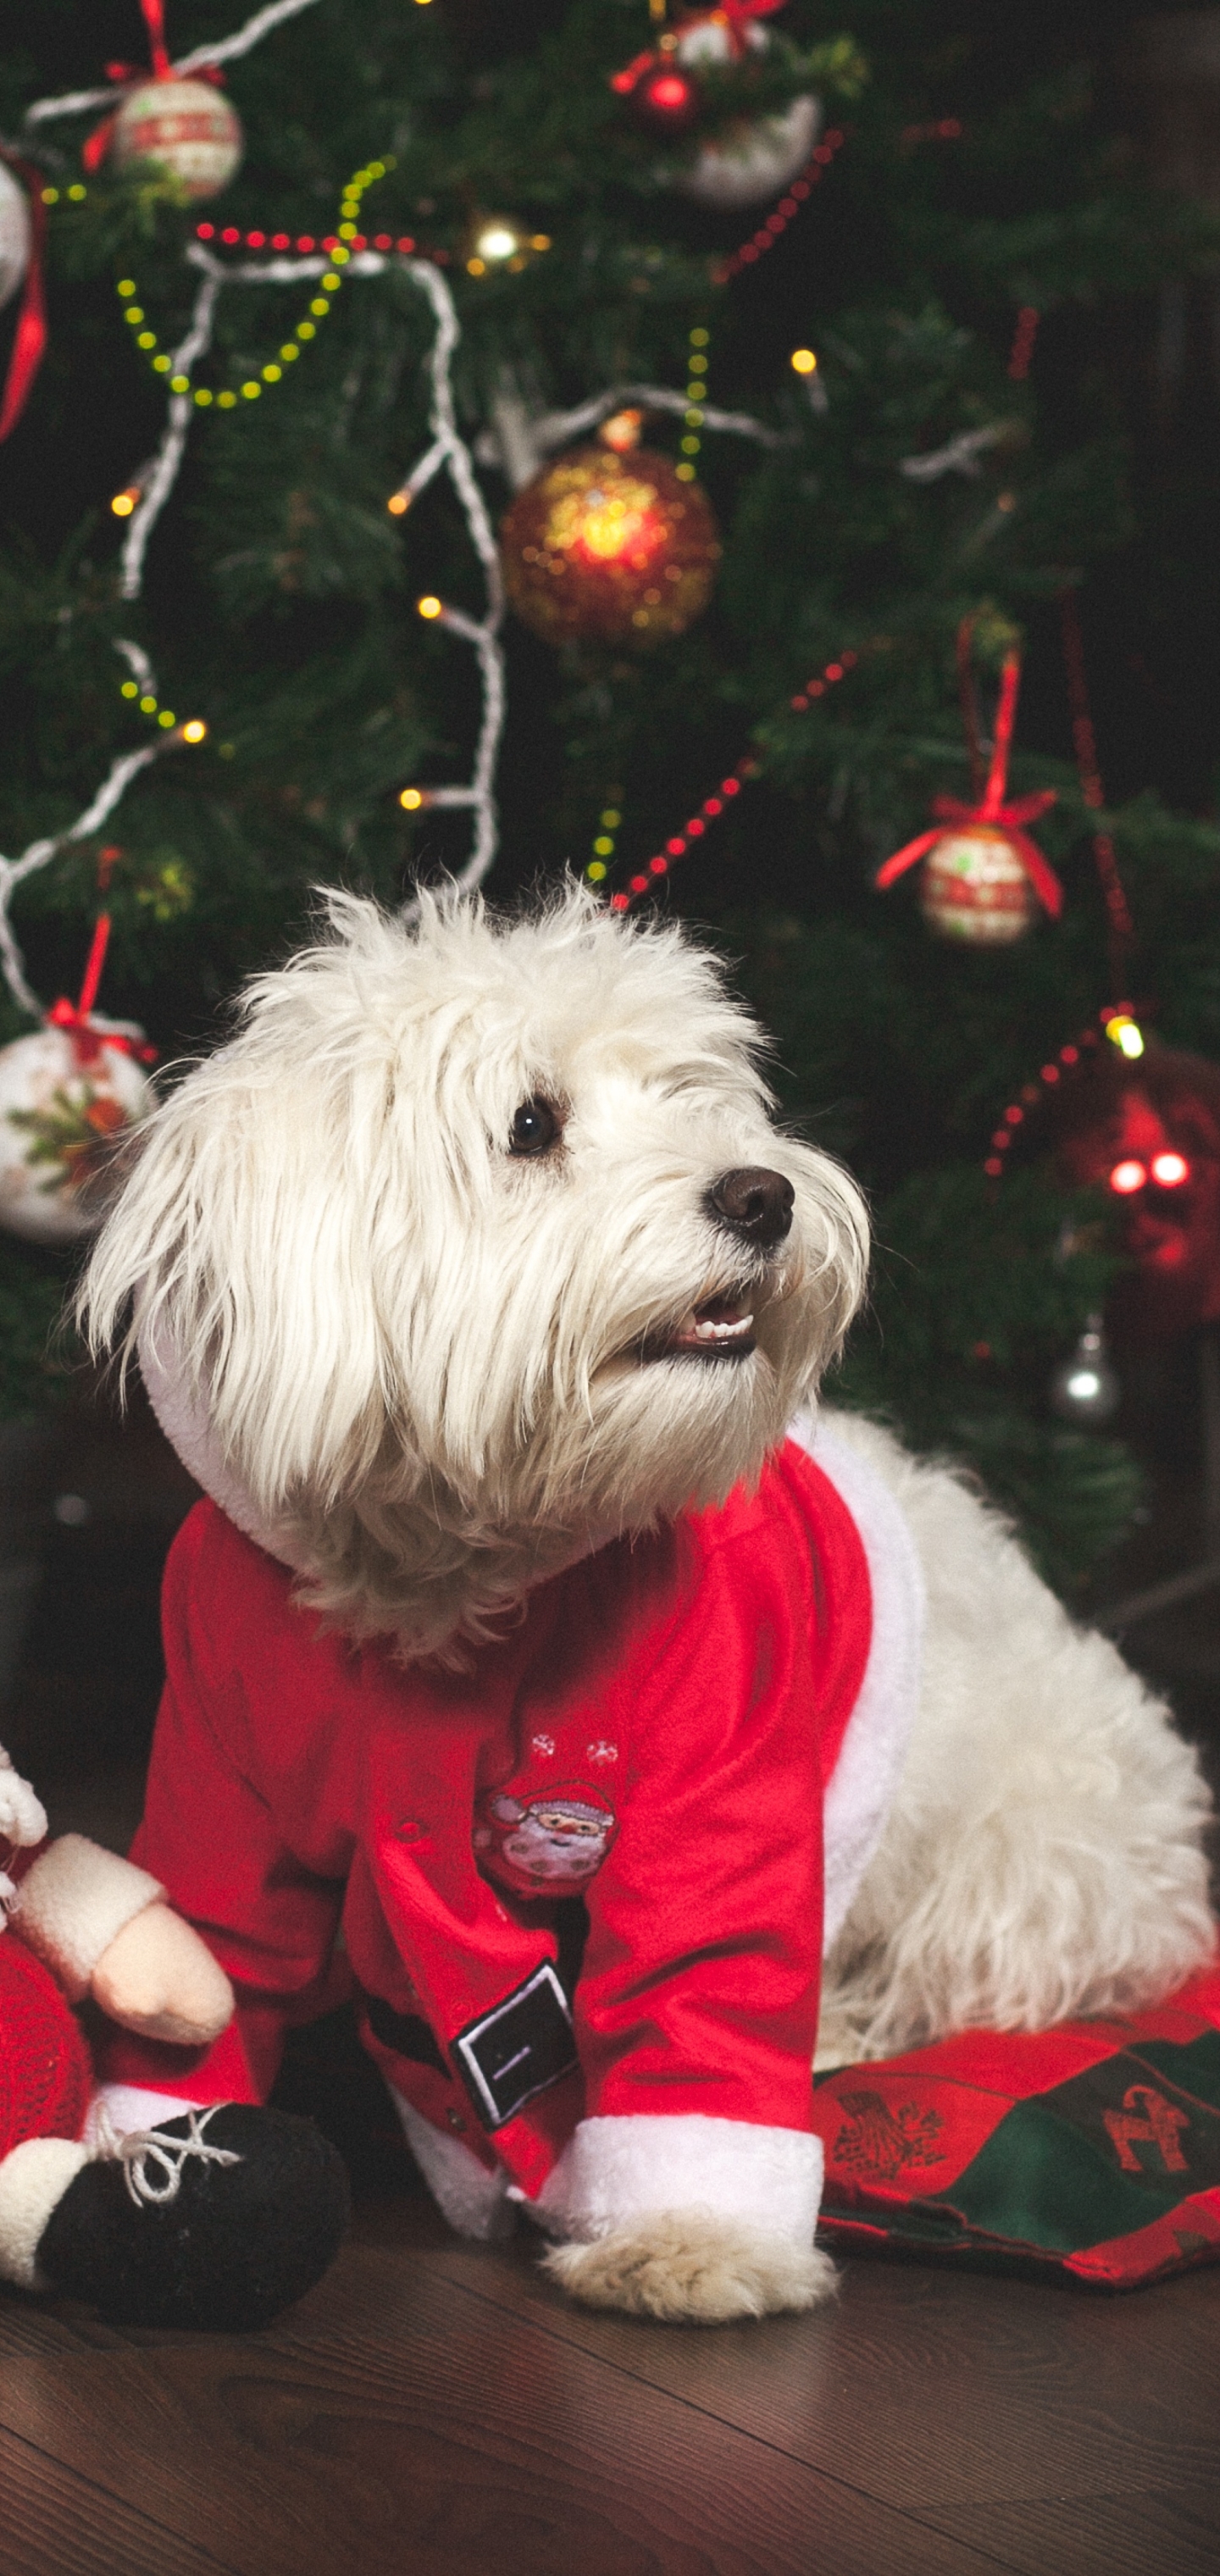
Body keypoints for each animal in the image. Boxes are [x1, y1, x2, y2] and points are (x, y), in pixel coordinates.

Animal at [80, 891, 1214, 2339]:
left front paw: (689, 2237)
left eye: (695, 1097)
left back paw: (840, 2037)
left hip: (1014, 1860)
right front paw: (148, 2157)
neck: (447, 1567)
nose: (764, 1192)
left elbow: (704, 1991)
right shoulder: (223, 1781)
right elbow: (210, 1957)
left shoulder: (725, 1796)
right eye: (530, 1123)